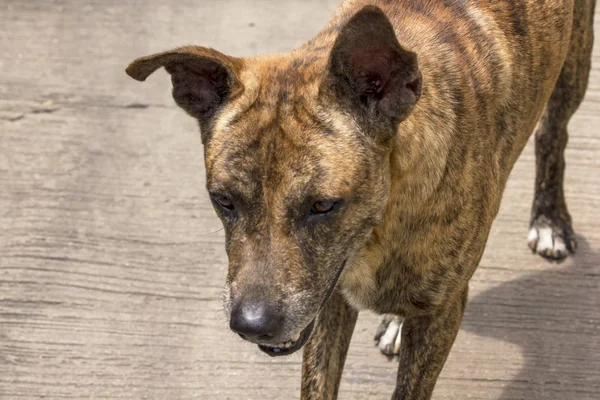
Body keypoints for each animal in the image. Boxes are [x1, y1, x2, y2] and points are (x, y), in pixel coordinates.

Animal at [126, 0, 596, 398]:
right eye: (223, 200)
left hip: (574, 66)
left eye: (322, 206)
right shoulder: (329, 303)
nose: (252, 325)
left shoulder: (441, 314)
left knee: (554, 134)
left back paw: (550, 220)